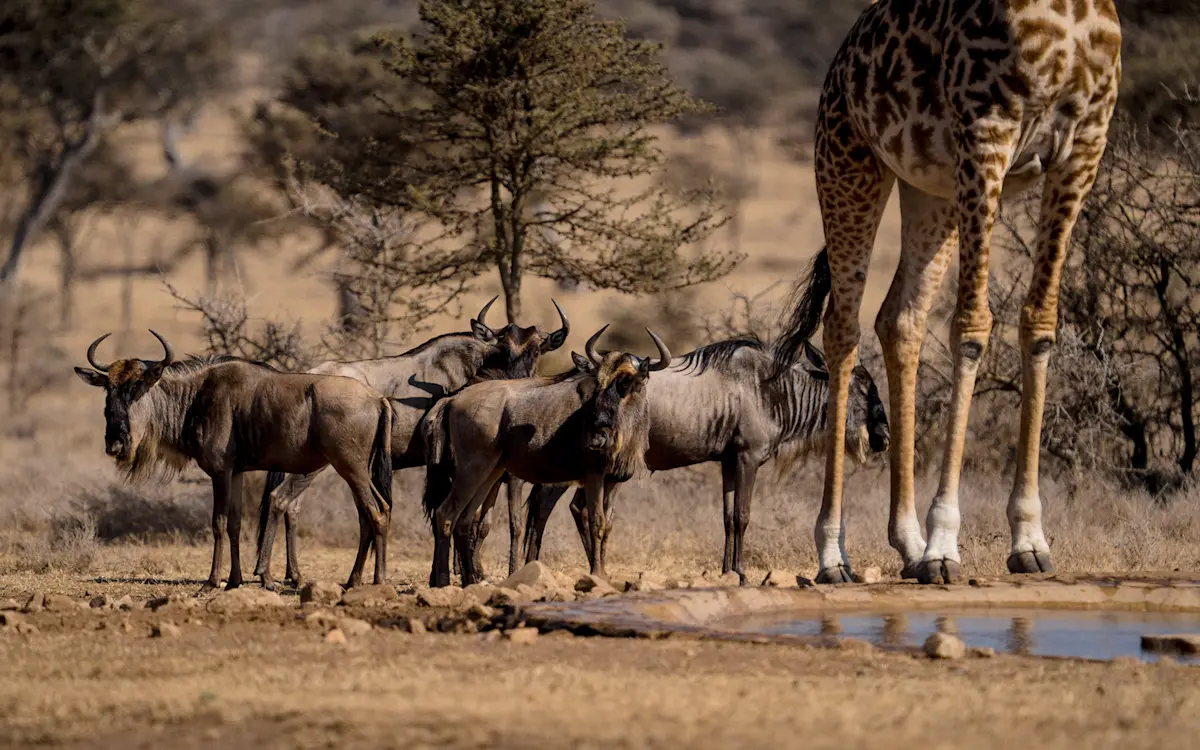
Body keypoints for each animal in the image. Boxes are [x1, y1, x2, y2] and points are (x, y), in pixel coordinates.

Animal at [772, 0, 1122, 584]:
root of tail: (838, 65)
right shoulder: (987, 130)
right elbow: (972, 326)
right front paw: (944, 543)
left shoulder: (1084, 146)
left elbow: (1040, 320)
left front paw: (1029, 538)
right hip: (848, 159)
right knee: (843, 329)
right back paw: (834, 553)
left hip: (929, 188)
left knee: (900, 317)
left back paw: (908, 544)